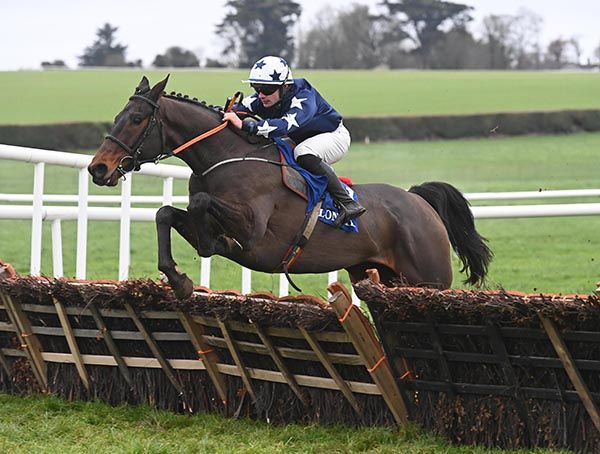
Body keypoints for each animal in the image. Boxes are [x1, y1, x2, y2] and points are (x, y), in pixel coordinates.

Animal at [89, 76, 492, 300]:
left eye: (136, 119)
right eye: (118, 117)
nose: (98, 167)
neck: (226, 155)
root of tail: (418, 202)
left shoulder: (252, 231)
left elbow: (203, 207)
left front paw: (210, 246)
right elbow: (165, 213)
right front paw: (179, 280)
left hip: (430, 279)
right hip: (378, 276)